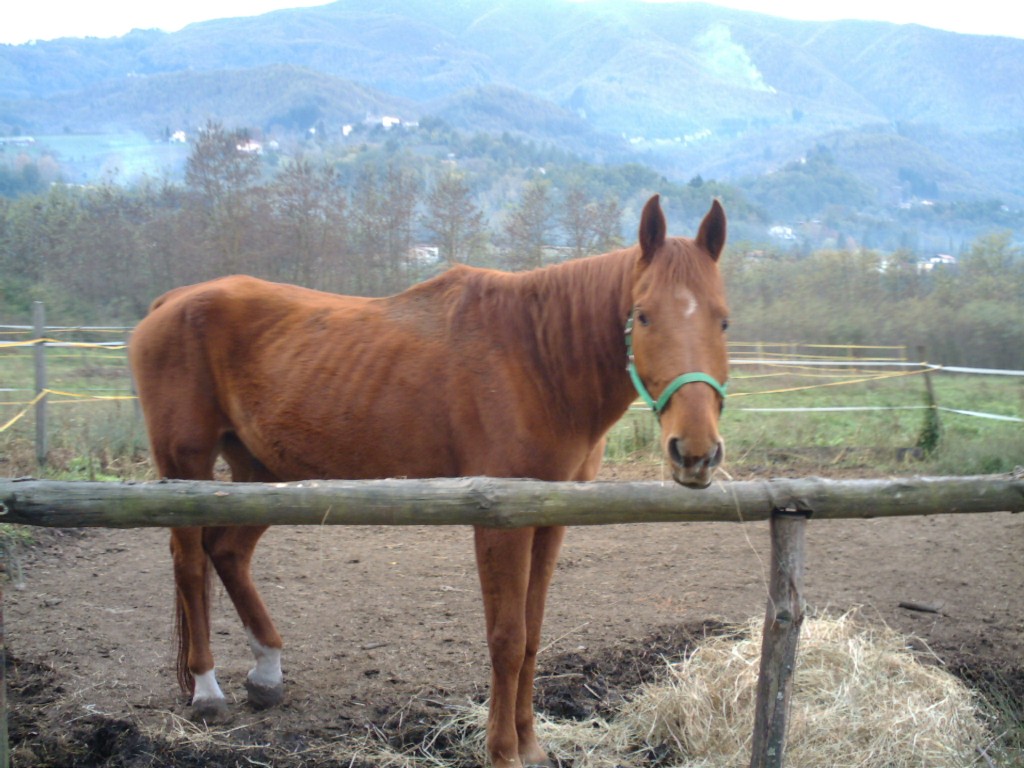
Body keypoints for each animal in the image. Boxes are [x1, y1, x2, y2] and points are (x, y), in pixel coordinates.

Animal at [130, 193, 729, 768]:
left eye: (723, 320)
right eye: (643, 316)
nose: (695, 451)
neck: (535, 360)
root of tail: (169, 303)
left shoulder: (551, 518)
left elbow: (532, 635)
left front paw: (532, 746)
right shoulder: (500, 524)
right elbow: (506, 638)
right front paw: (502, 752)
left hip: (262, 472)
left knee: (227, 552)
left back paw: (267, 674)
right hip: (187, 464)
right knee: (189, 563)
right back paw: (207, 689)